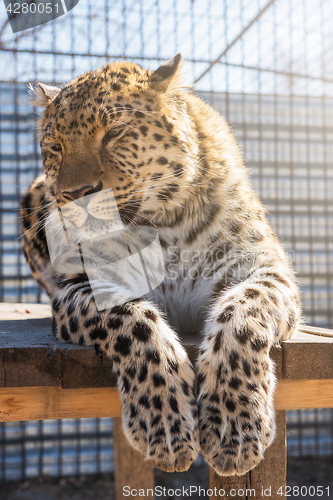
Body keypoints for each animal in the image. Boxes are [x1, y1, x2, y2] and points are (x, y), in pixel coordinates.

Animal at [20, 54, 300, 476]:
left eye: (114, 132)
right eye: (55, 146)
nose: (73, 195)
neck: (163, 227)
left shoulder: (264, 267)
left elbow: (242, 315)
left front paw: (234, 427)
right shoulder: (83, 286)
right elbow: (134, 322)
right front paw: (165, 427)